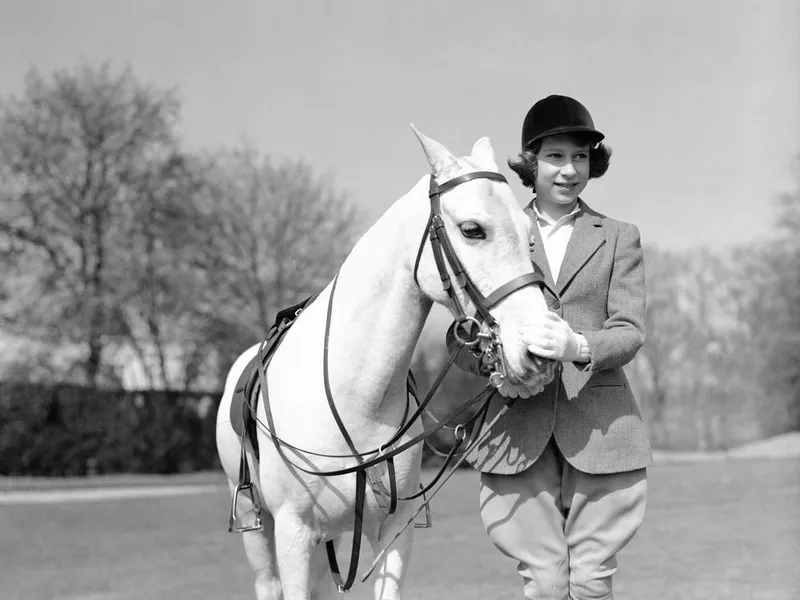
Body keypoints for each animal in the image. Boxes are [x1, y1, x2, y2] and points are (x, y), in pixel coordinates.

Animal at [216, 125, 560, 596]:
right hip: (260, 531)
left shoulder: (393, 532)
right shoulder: (293, 533)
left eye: (529, 234)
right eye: (473, 230)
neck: (356, 395)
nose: (537, 349)